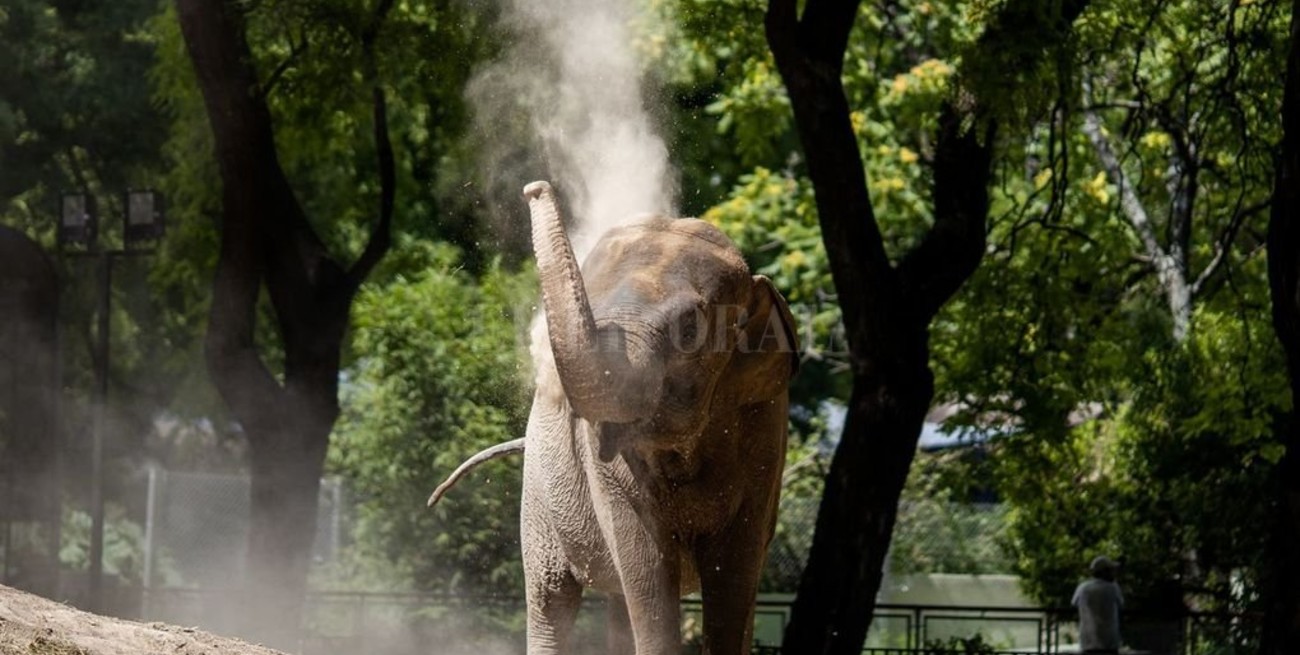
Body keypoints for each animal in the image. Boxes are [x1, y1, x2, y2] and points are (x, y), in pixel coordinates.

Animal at [431, 180, 795, 655]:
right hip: (538, 498)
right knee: (551, 597)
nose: (534, 188)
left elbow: (736, 570)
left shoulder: (767, 426)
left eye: (690, 326)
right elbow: (646, 563)